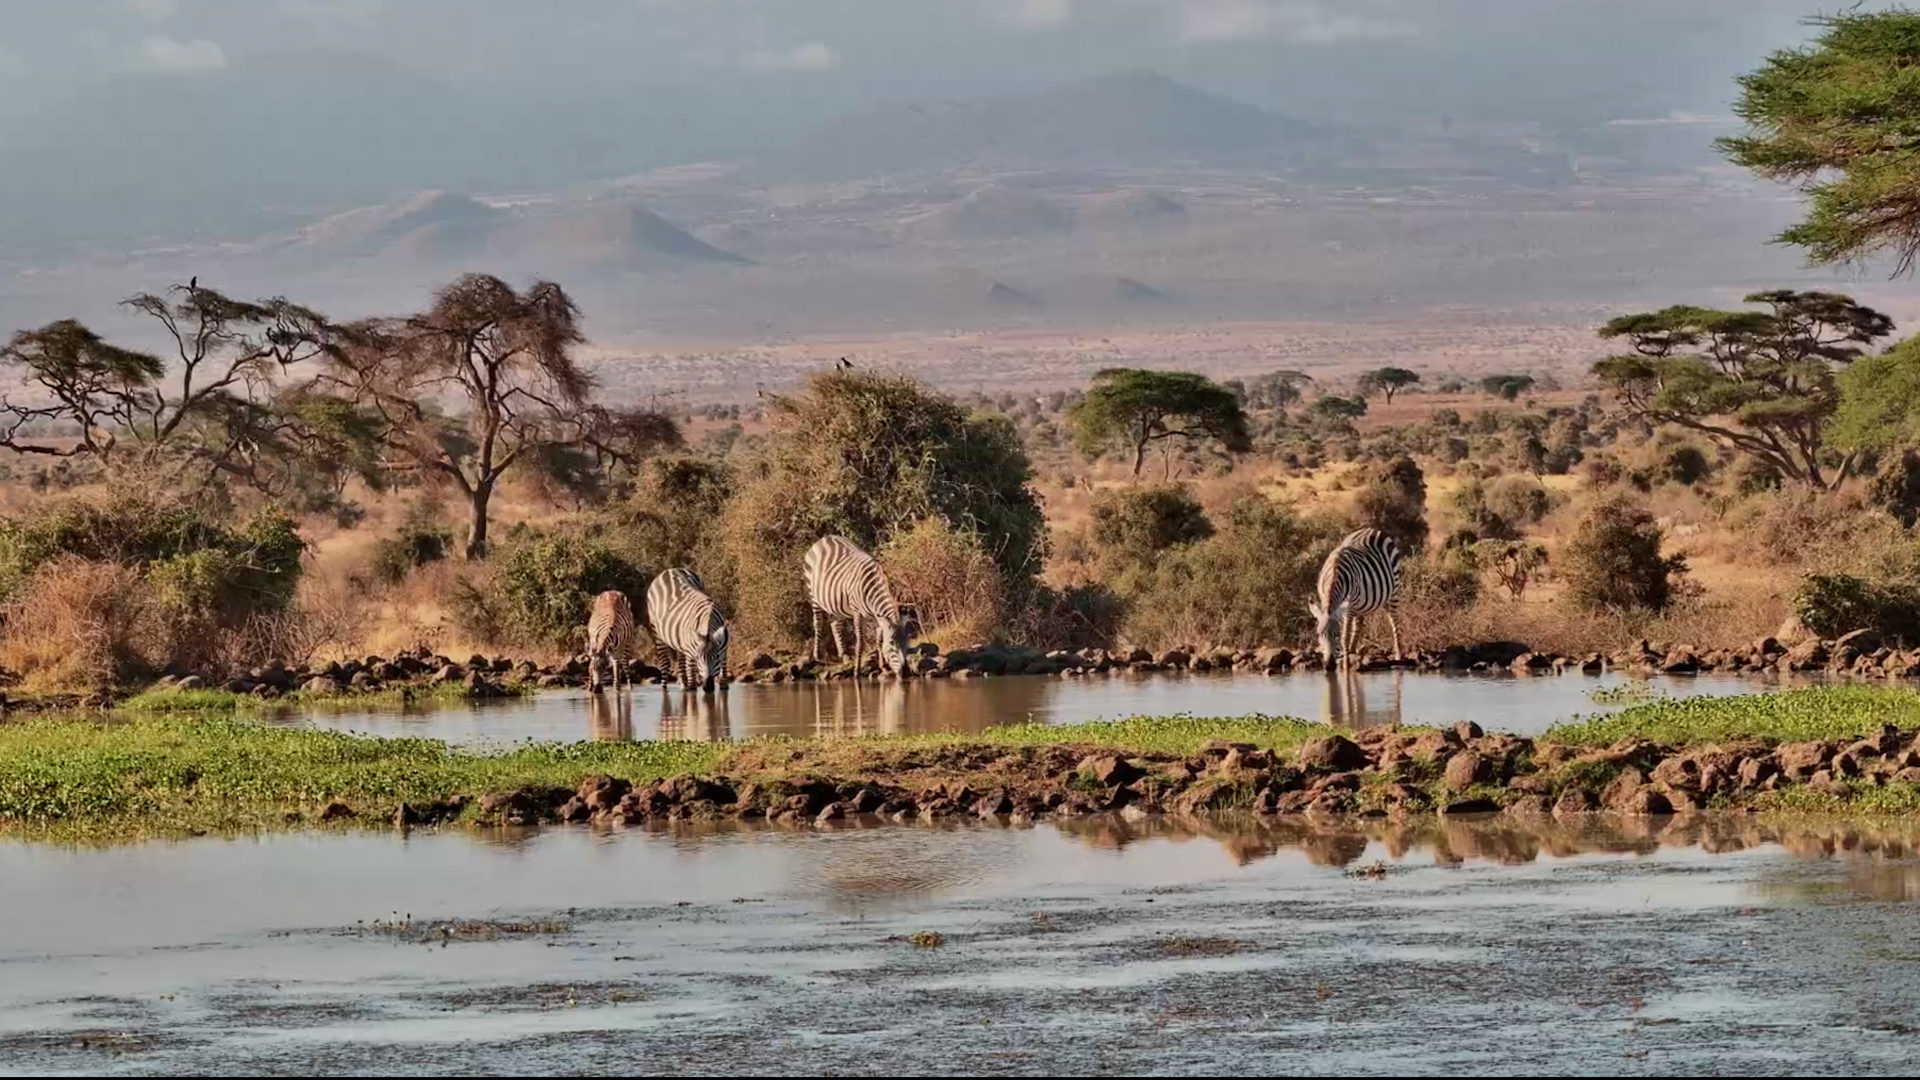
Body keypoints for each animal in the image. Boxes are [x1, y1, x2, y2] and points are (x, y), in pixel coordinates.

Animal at [803, 535, 912, 677]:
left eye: (907, 643)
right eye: (891, 644)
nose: (906, 672)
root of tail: (825, 538)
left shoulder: (876, 617)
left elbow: (878, 640)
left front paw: (883, 667)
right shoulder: (857, 613)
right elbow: (860, 642)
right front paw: (857, 671)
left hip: (835, 603)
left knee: (835, 625)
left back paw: (844, 656)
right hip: (814, 597)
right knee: (818, 623)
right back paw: (817, 656)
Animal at [1308, 528, 1406, 670]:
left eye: (1336, 634)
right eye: (1319, 634)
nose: (1329, 665)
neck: (1334, 574)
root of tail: (1372, 529)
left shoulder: (1348, 607)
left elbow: (1345, 636)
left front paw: (1345, 661)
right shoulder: (1324, 599)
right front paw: (1347, 655)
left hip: (1394, 592)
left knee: (1394, 623)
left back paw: (1398, 654)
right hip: (1361, 602)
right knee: (1359, 622)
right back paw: (1353, 650)